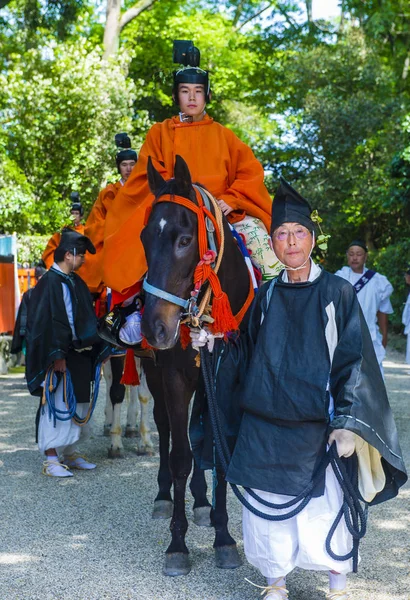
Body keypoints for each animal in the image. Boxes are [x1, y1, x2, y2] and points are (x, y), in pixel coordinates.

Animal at [140, 155, 250, 576]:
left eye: (184, 240)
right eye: (143, 239)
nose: (154, 328)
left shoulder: (224, 379)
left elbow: (215, 449)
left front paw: (223, 536)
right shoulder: (172, 377)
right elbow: (180, 457)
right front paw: (177, 544)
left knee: (196, 433)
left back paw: (203, 504)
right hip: (154, 373)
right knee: (167, 430)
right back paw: (163, 496)